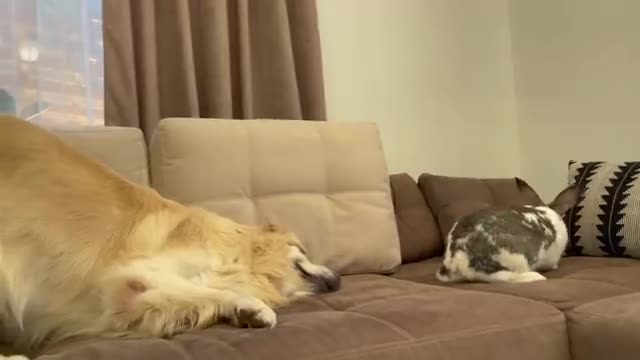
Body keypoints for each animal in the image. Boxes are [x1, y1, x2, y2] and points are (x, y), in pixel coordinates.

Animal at [0, 116, 340, 360]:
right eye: (303, 249)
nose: (338, 281)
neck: (242, 257)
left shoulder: (132, 299)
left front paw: (245, 310)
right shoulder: (134, 274)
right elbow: (208, 290)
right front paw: (253, 306)